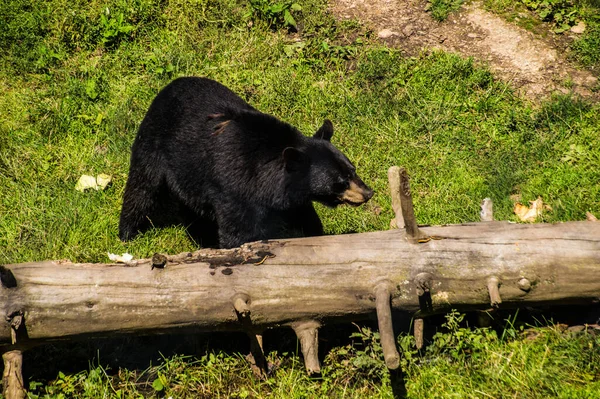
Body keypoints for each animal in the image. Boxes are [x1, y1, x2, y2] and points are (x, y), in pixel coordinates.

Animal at [119, 76, 372, 248]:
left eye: (353, 169)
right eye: (341, 181)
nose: (368, 192)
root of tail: (170, 85)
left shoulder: (288, 196)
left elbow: (304, 216)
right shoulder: (234, 189)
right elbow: (238, 232)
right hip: (153, 143)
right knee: (141, 188)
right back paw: (127, 234)